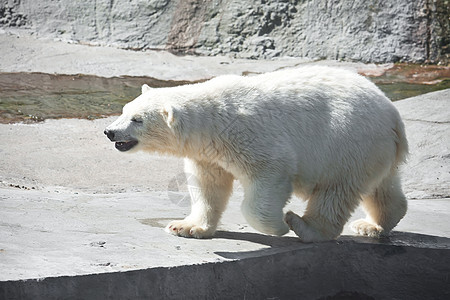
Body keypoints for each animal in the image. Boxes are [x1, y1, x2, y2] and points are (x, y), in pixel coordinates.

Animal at [104, 65, 408, 241]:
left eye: (138, 120)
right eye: (124, 110)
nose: (110, 132)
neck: (212, 121)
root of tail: (392, 115)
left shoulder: (250, 135)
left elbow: (269, 174)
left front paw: (277, 226)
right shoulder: (207, 153)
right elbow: (207, 185)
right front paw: (186, 227)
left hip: (347, 140)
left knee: (335, 191)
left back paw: (304, 226)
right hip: (372, 149)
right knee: (382, 187)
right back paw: (373, 225)